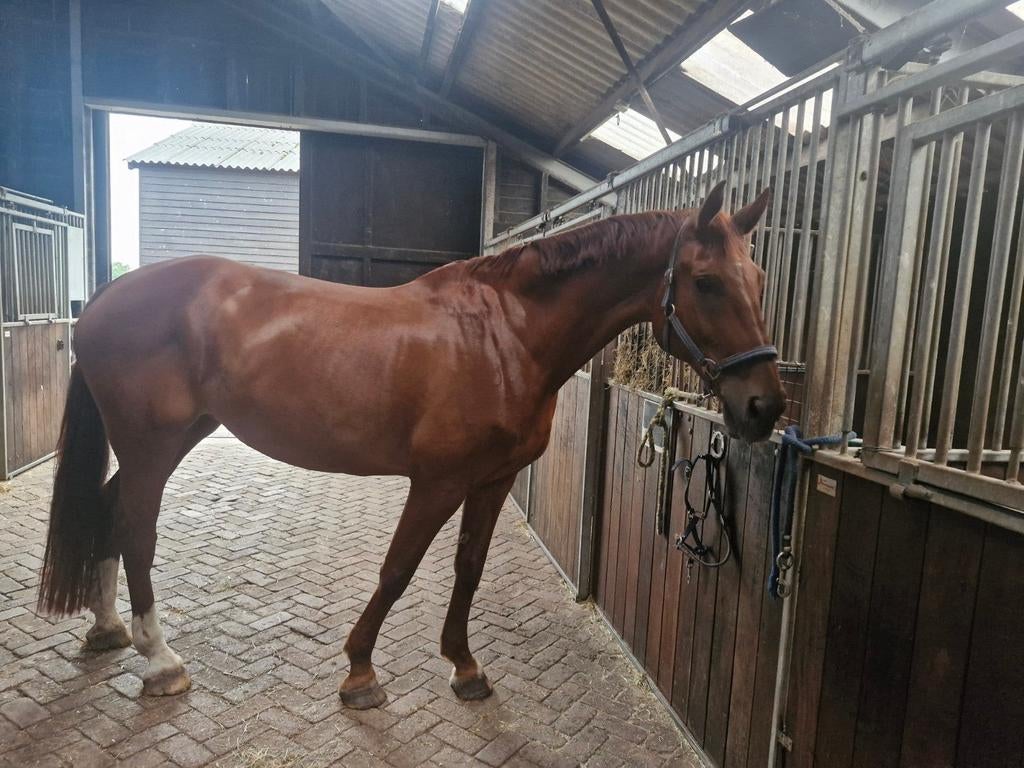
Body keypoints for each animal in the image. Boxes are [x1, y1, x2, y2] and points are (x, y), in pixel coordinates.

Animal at [37, 180, 783, 709]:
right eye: (706, 282)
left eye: (759, 281)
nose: (765, 407)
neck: (505, 334)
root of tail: (103, 299)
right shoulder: (438, 482)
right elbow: (398, 570)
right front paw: (360, 673)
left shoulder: (492, 480)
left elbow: (468, 568)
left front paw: (465, 665)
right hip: (153, 447)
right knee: (135, 529)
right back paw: (161, 659)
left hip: (167, 441)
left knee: (107, 512)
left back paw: (108, 628)